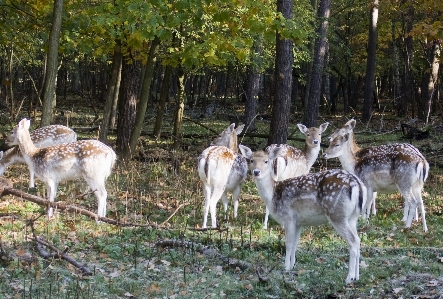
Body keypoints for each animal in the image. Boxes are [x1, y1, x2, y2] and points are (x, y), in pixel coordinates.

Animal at [239, 144, 368, 284]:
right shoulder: (299, 222)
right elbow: (296, 244)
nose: (256, 172)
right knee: (358, 239)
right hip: (352, 217)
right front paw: (292, 266)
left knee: (353, 241)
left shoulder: (288, 217)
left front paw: (285, 267)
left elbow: (289, 244)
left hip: (337, 214)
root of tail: (358, 185)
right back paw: (357, 276)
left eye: (266, 161)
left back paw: (349, 277)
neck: (273, 195)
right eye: (251, 160)